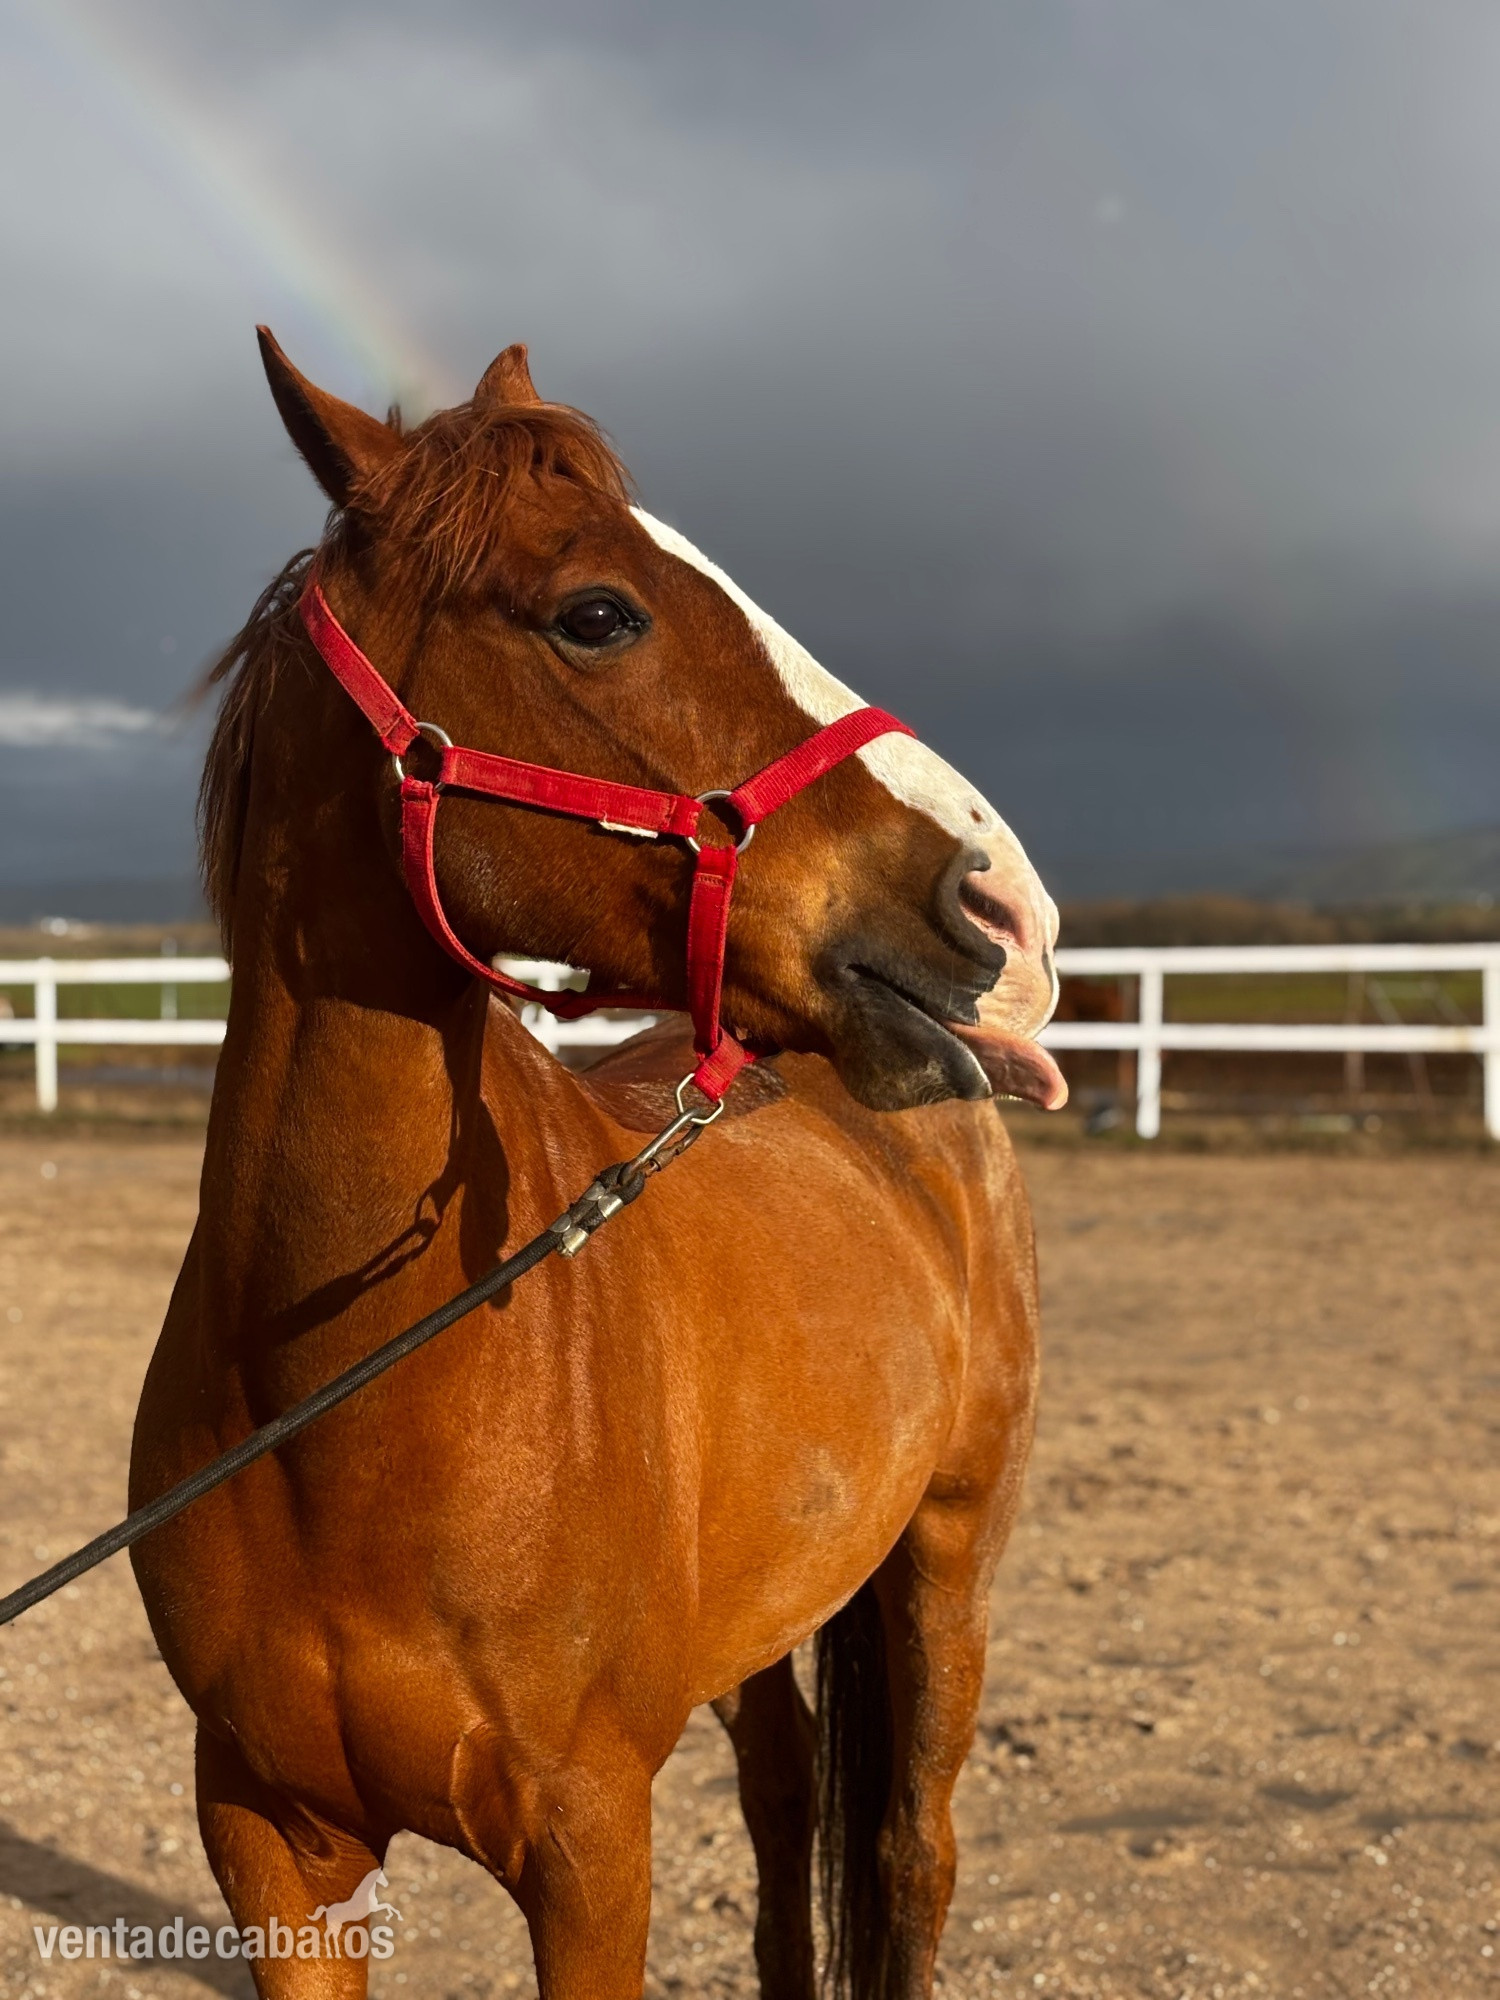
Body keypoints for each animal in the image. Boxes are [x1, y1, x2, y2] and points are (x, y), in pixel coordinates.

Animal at [128, 329, 1066, 2000]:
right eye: (598, 614)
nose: (1009, 910)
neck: (337, 1410)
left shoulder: (586, 1844)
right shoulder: (267, 1842)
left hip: (946, 1559)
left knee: (907, 1851)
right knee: (783, 1808)